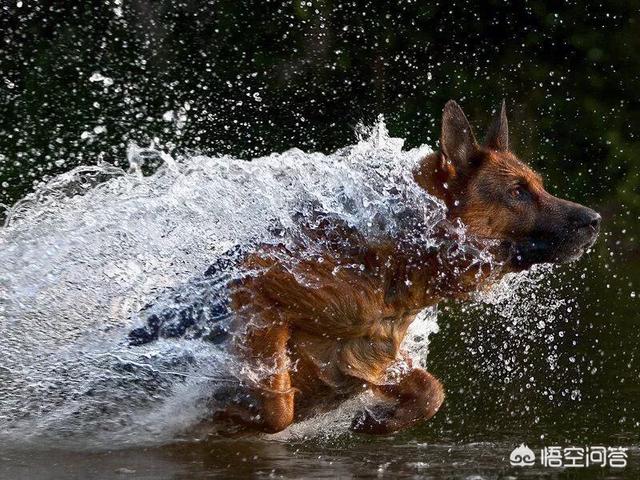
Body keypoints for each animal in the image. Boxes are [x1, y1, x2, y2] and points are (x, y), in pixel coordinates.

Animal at [129, 101, 600, 436]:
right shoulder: (257, 293)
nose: (596, 220)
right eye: (518, 192)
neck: (395, 258)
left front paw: (378, 421)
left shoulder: (368, 355)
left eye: (539, 186)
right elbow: (278, 405)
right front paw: (224, 409)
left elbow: (432, 392)